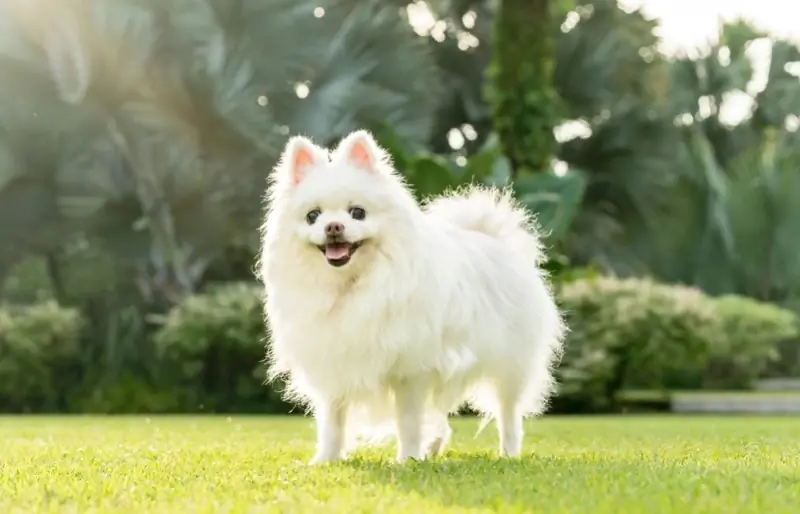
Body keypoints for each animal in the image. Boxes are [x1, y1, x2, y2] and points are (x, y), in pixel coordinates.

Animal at [256, 130, 564, 462]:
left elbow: (408, 419)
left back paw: (507, 453)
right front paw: (326, 460)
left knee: (508, 414)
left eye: (357, 213)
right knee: (441, 417)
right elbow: (332, 422)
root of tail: (491, 237)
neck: (351, 285)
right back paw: (434, 448)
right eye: (313, 216)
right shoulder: (335, 366)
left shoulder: (411, 370)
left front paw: (408, 460)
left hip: (509, 366)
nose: (333, 226)